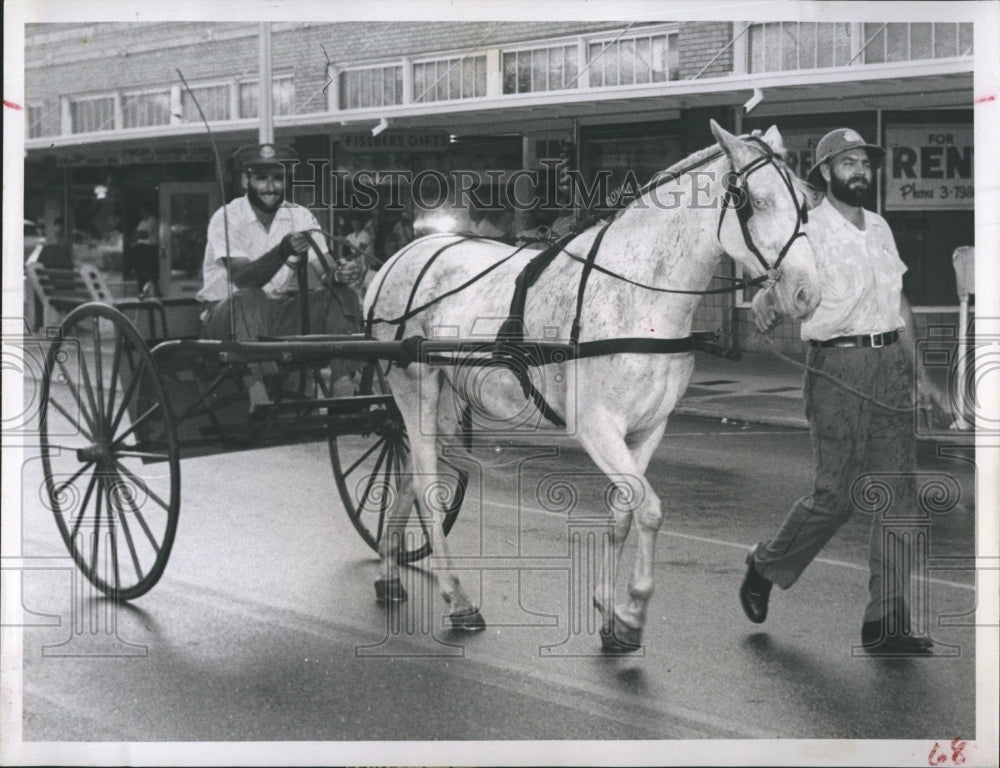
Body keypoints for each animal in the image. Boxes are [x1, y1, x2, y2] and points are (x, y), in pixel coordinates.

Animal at [364, 123, 816, 652]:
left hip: (446, 395)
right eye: (756, 202)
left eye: (805, 203)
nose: (807, 293)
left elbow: (623, 512)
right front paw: (635, 607)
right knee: (428, 484)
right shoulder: (598, 427)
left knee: (413, 474)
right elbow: (650, 510)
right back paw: (457, 597)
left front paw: (609, 610)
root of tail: (399, 257)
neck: (639, 295)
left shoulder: (648, 428)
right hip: (413, 386)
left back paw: (389, 569)